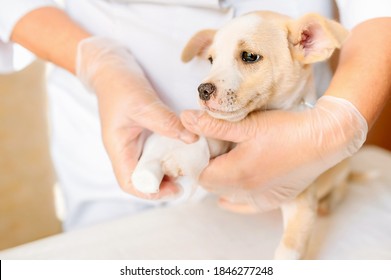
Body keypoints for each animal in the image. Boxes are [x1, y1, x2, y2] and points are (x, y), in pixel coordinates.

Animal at [133, 11, 350, 260]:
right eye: (211, 60)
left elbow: (289, 250)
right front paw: (182, 155)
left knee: (341, 187)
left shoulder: (301, 201)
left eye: (249, 56)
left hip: (342, 170)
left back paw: (329, 204)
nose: (202, 90)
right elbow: (211, 140)